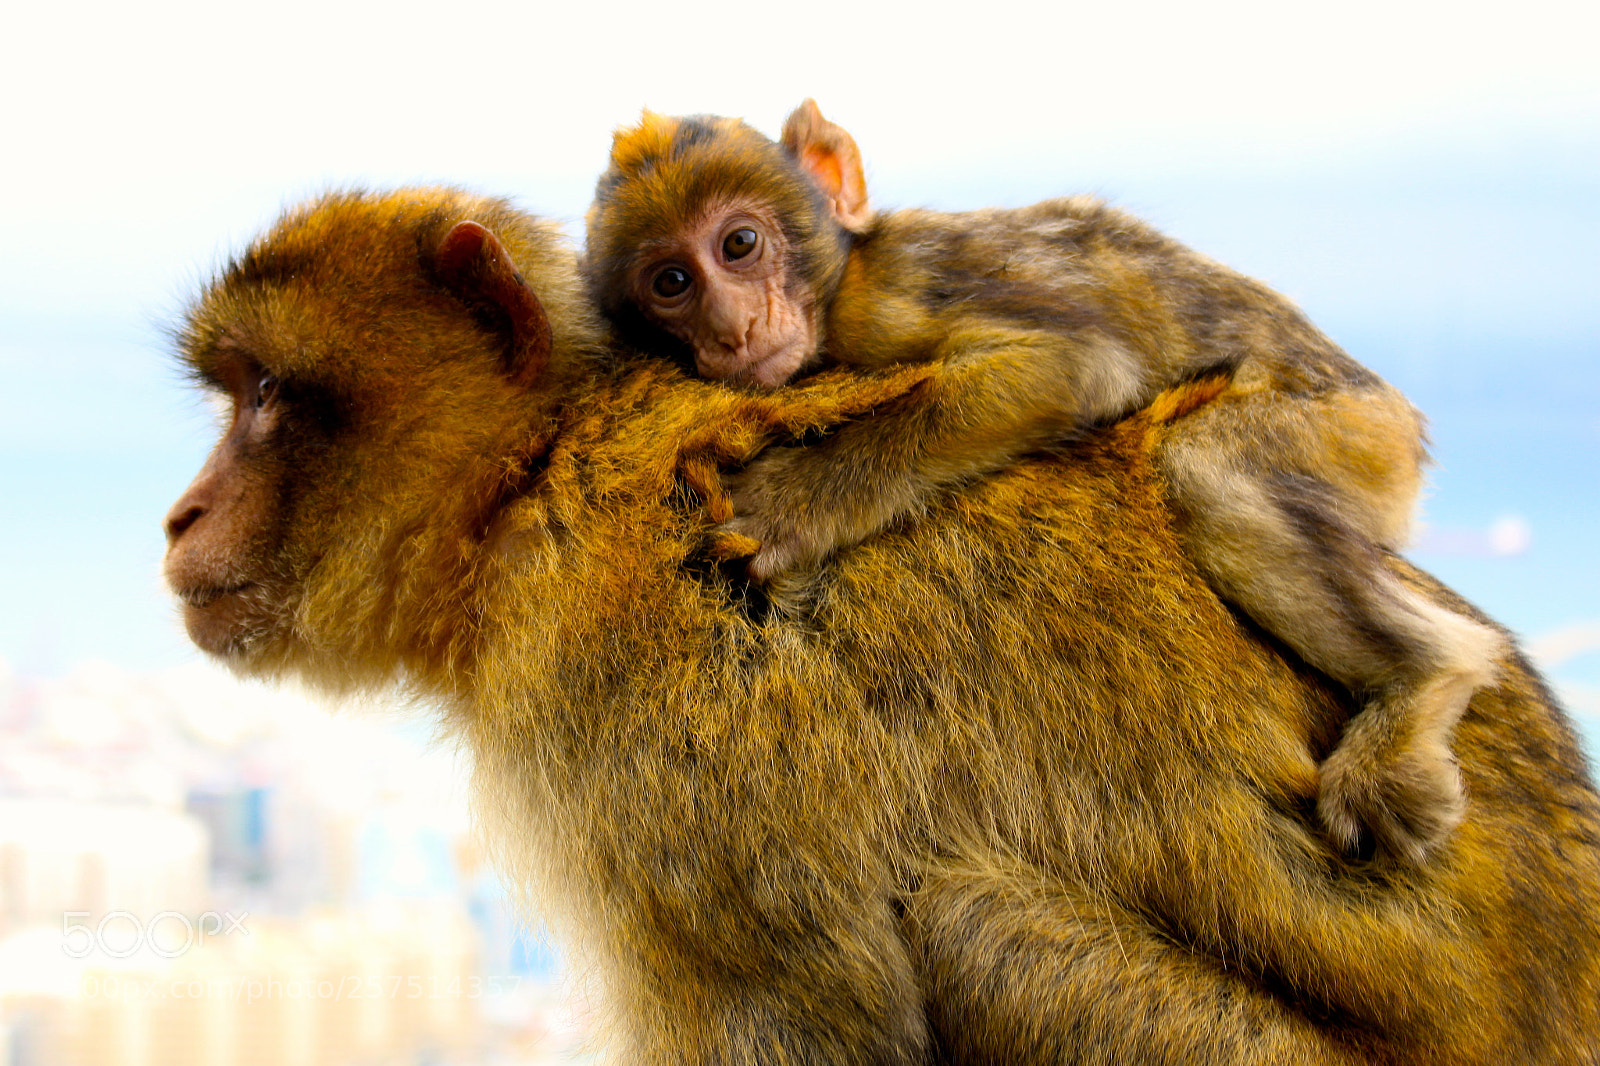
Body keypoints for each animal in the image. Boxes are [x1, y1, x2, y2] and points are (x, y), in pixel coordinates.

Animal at [164, 186, 1600, 1065]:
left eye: (268, 398)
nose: (182, 514)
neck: (536, 477)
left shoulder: (639, 717)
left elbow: (806, 1021)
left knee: (969, 928)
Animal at [581, 102, 1509, 865]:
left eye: (739, 245)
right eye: (671, 283)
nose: (732, 330)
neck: (840, 287)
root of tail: (1400, 425)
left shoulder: (896, 296)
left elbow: (1077, 365)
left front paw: (795, 503)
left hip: (1355, 432)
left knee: (1210, 473)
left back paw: (1422, 681)